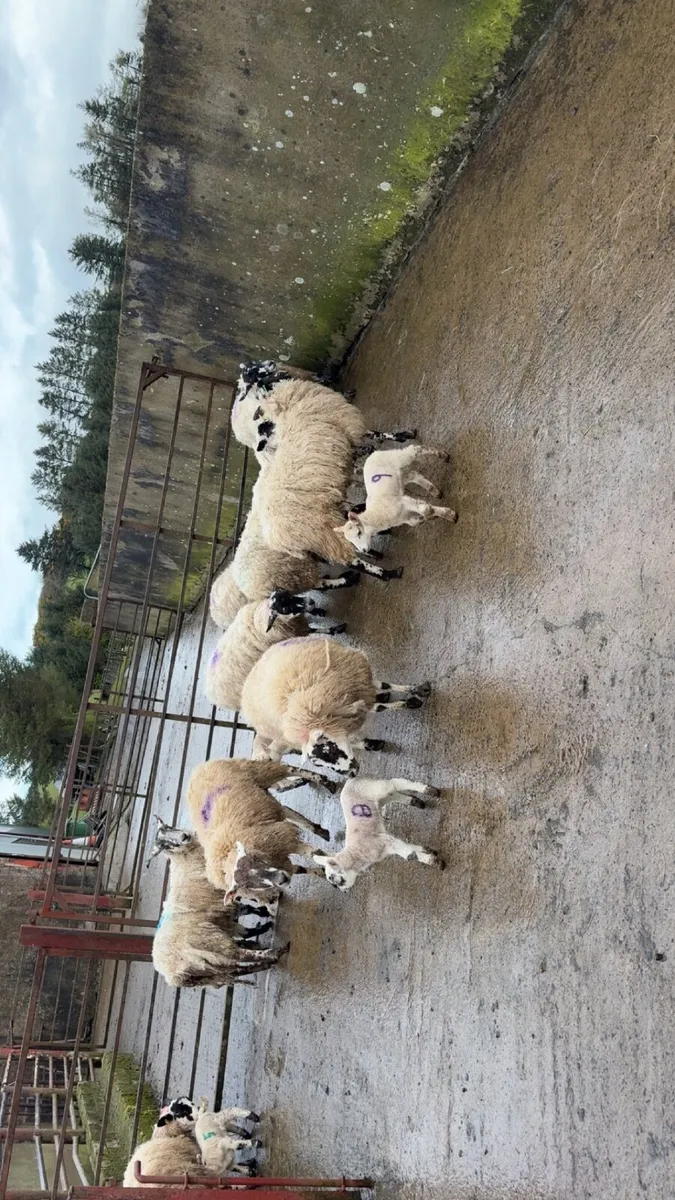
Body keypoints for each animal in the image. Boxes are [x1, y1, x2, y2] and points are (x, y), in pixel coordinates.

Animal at [149, 819, 288, 988]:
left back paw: (265, 960)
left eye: (167, 827)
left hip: (213, 971)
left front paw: (265, 916)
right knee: (242, 956)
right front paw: (269, 909)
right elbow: (248, 908)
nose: (183, 836)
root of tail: (172, 976)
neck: (185, 860)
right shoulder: (225, 899)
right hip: (212, 945)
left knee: (237, 969)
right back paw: (274, 954)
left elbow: (247, 915)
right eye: (164, 846)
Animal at [187, 758, 337, 899]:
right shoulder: (281, 856)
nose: (282, 880)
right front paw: (323, 872)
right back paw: (319, 829)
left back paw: (326, 783)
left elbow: (315, 853)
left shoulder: (283, 842)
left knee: (289, 769)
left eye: (254, 859)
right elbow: (301, 867)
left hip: (258, 771)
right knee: (284, 809)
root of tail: (197, 769)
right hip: (262, 799)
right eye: (246, 885)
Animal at [205, 597, 346, 712]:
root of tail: (210, 695)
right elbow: (317, 630)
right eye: (285, 609)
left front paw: (317, 611)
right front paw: (335, 629)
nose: (311, 601)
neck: (258, 619)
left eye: (287, 593)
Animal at [240, 635, 432, 776]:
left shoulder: (358, 681)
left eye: (329, 749)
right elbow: (379, 707)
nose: (351, 774)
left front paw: (418, 691)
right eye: (318, 764)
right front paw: (410, 701)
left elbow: (383, 688)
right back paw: (371, 743)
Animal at [313, 776, 444, 890]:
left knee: (393, 783)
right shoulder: (388, 843)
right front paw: (427, 850)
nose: (343, 890)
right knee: (393, 794)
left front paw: (434, 862)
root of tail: (350, 780)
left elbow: (410, 855)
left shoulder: (383, 841)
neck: (355, 855)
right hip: (378, 799)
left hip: (371, 788)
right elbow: (409, 847)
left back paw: (429, 790)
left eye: (335, 880)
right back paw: (416, 801)